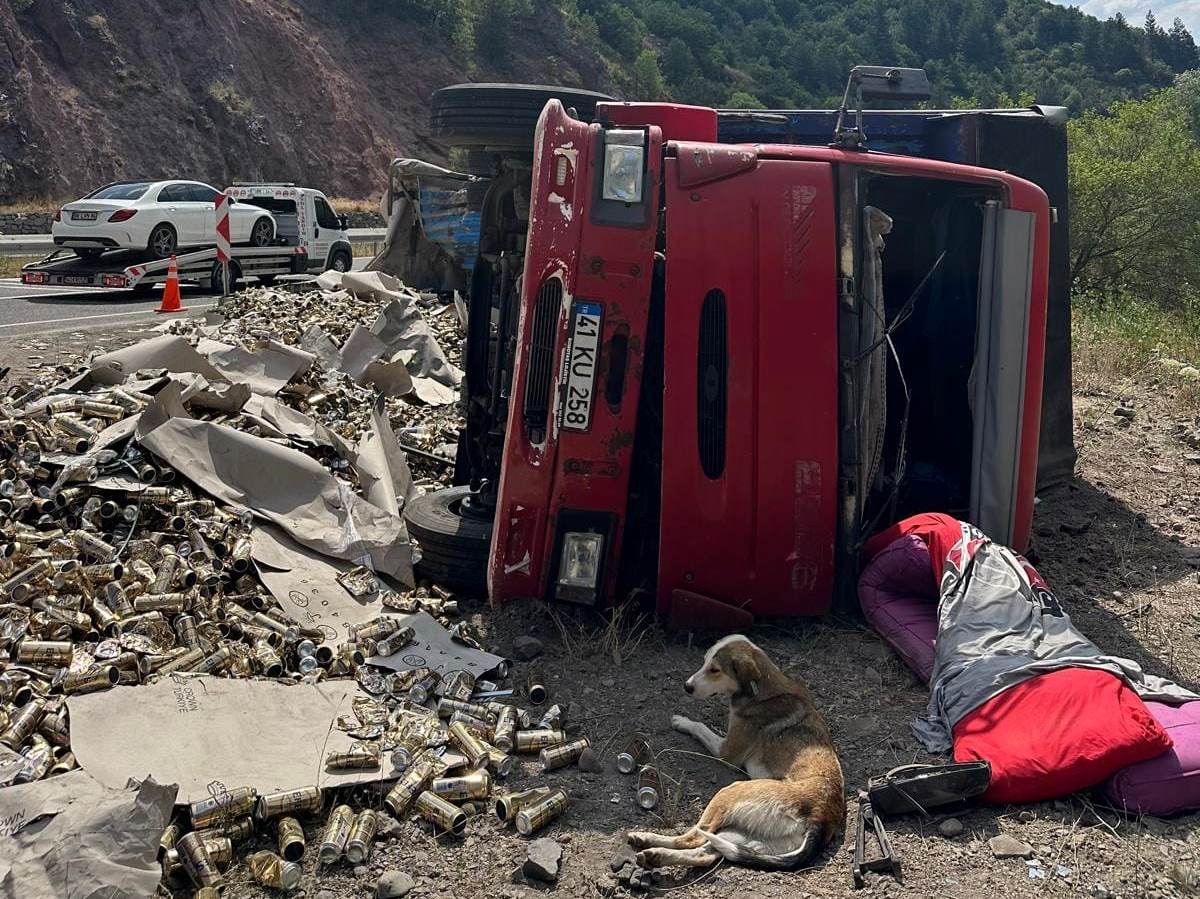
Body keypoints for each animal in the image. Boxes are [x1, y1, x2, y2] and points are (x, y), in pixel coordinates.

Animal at [628, 628, 844, 868]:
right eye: (704, 661)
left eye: (715, 670)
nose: (686, 686)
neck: (762, 688)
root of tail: (819, 820)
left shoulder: (726, 752)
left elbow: (701, 726)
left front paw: (682, 721)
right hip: (744, 836)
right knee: (704, 854)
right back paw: (651, 850)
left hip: (729, 793)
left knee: (693, 838)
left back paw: (647, 840)